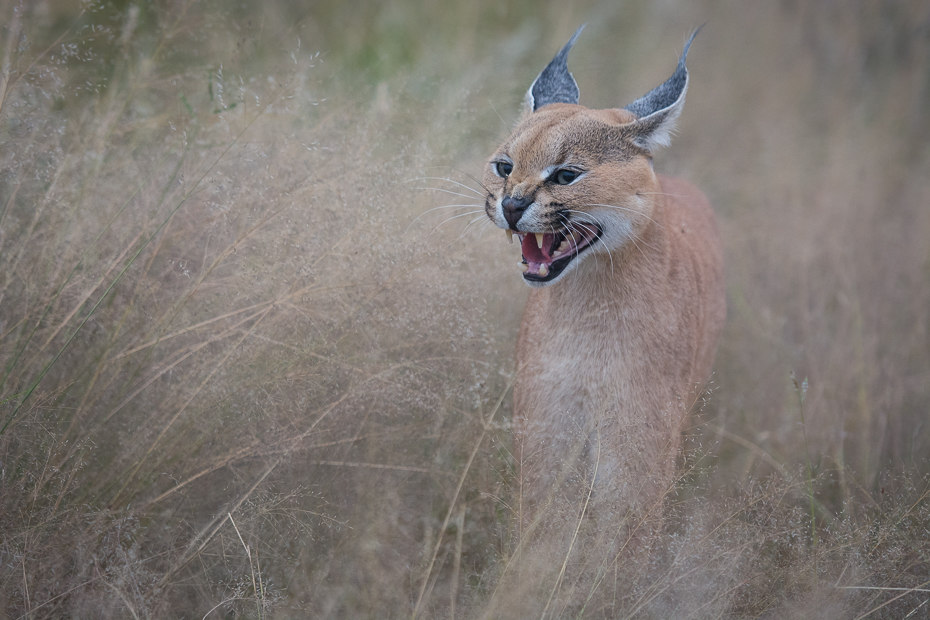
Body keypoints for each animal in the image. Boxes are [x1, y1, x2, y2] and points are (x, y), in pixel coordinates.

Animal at [482, 26, 728, 532]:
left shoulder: (635, 455)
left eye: (566, 175)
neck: (589, 310)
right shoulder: (546, 439)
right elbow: (543, 537)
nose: (512, 205)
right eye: (505, 167)